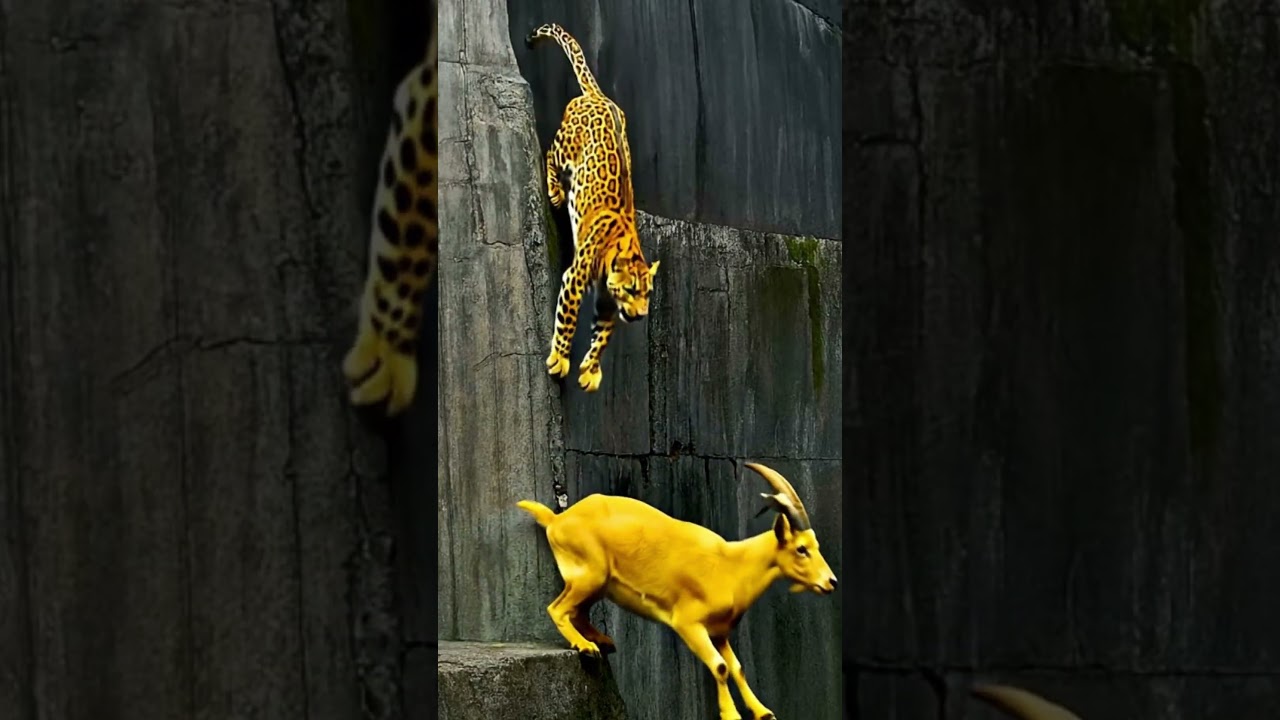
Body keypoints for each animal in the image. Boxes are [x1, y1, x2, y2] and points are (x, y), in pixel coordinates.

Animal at [516, 462, 838, 720]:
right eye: (801, 549)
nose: (830, 582)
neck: (733, 565)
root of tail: (556, 520)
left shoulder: (718, 632)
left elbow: (737, 667)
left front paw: (763, 712)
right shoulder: (688, 623)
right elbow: (720, 666)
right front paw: (731, 715)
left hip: (599, 582)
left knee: (579, 611)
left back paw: (602, 641)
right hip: (590, 575)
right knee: (558, 608)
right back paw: (586, 646)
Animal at [527, 23, 660, 393]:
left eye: (647, 294)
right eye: (631, 290)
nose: (640, 316)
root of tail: (598, 96)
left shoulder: (606, 303)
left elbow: (601, 336)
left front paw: (590, 369)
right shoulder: (574, 278)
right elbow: (568, 318)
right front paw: (560, 359)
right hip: (564, 147)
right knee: (549, 155)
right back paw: (556, 193)